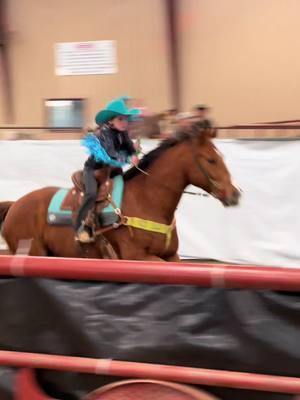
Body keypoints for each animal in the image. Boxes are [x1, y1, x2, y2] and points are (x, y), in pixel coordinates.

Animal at [0, 133, 239, 260]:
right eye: (211, 160)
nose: (234, 194)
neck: (146, 200)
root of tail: (15, 205)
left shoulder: (171, 255)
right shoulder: (137, 257)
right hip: (34, 252)